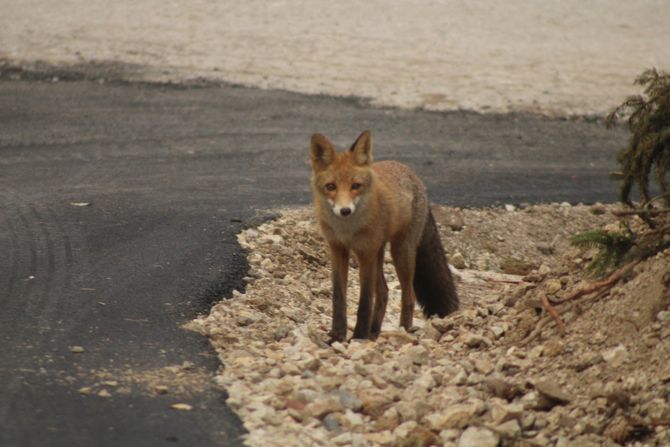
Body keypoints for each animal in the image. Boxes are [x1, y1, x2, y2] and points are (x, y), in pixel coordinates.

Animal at [312, 130, 460, 344]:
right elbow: (338, 298)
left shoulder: (365, 252)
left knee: (408, 296)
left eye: (355, 186)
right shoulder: (338, 249)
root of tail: (413, 175)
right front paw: (337, 335)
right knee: (384, 292)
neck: (347, 229)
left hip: (401, 252)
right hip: (380, 252)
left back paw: (403, 330)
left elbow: (365, 300)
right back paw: (374, 331)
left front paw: (359, 336)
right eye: (330, 186)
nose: (345, 210)